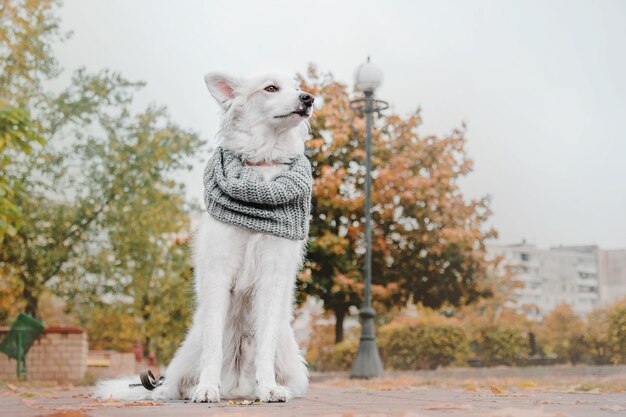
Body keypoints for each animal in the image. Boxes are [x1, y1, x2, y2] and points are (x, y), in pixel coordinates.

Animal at [94, 72, 312, 404]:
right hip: (187, 351)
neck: (261, 168)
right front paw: (207, 387)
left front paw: (269, 388)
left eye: (298, 87)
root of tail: (237, 387)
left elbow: (264, 346)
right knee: (173, 385)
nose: (308, 98)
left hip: (290, 358)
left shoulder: (272, 276)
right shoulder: (218, 272)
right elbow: (213, 346)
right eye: (271, 88)